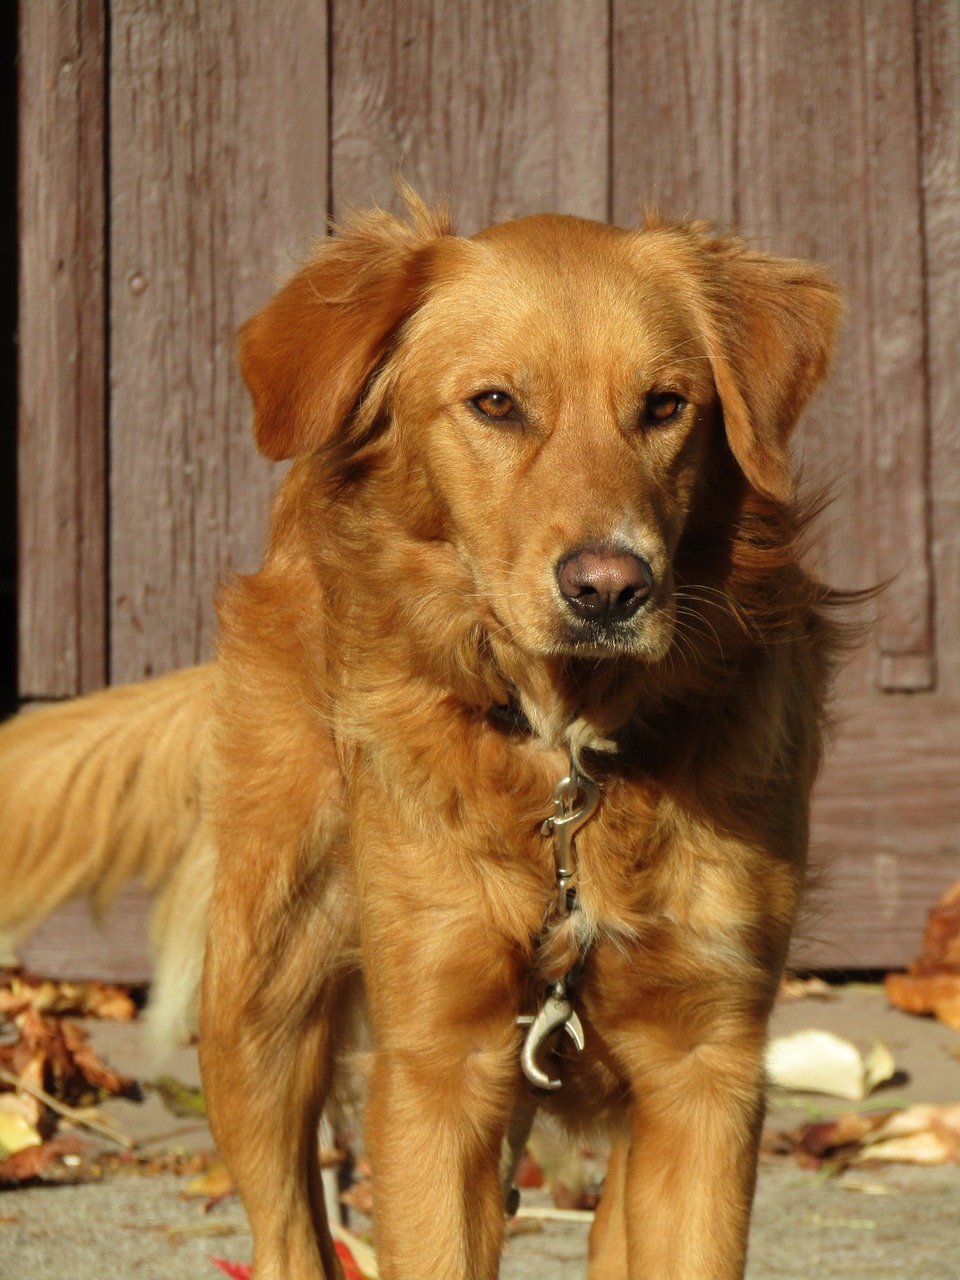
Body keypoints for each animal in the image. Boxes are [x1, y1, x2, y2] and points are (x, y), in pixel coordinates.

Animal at [0, 192, 844, 1280]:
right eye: (495, 403)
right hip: (261, 999)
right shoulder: (437, 1072)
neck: (566, 759)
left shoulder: (706, 1073)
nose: (610, 588)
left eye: (665, 407)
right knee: (288, 1230)